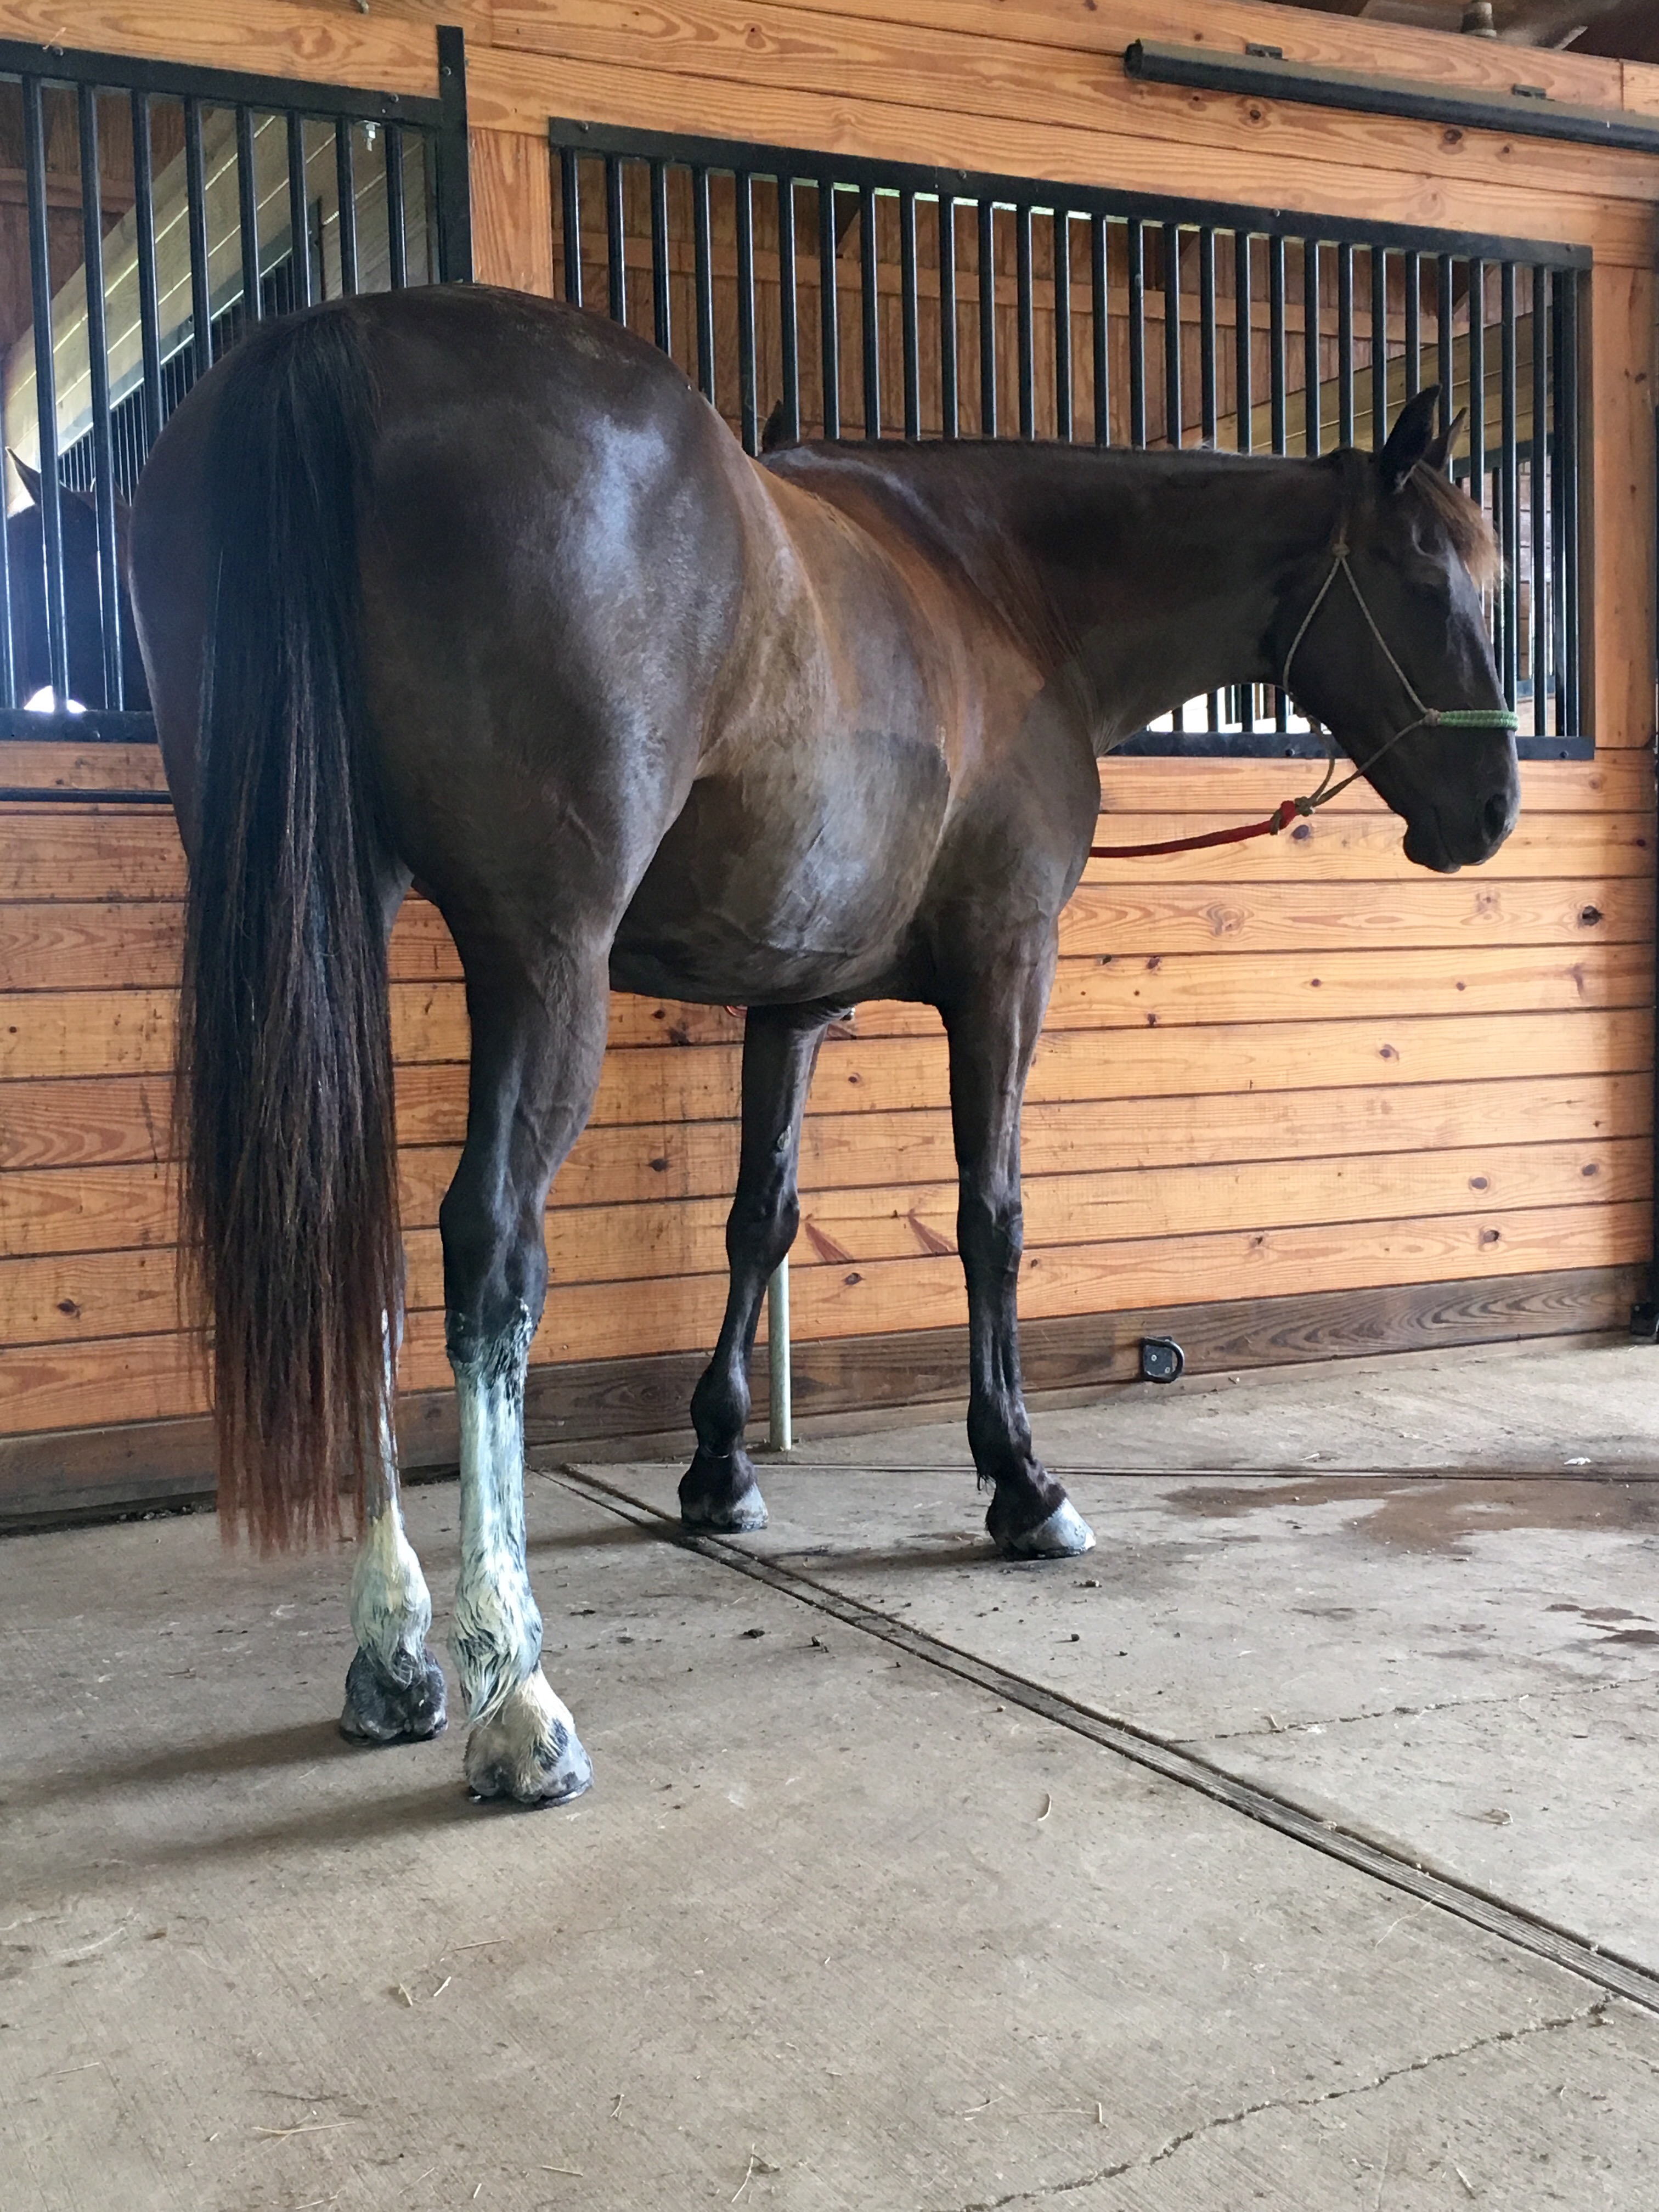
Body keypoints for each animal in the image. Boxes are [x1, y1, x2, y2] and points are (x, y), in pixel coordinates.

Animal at [127, 285, 1517, 1808]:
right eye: (1428, 580)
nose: (1494, 811)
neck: (1009, 591)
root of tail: (346, 340)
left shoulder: (787, 1001)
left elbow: (762, 1219)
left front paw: (721, 1471)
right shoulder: (1005, 968)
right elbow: (991, 1219)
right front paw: (1022, 1484)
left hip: (350, 913)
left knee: (359, 1242)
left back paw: (395, 1664)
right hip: (542, 958)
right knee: (489, 1253)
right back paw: (517, 1700)